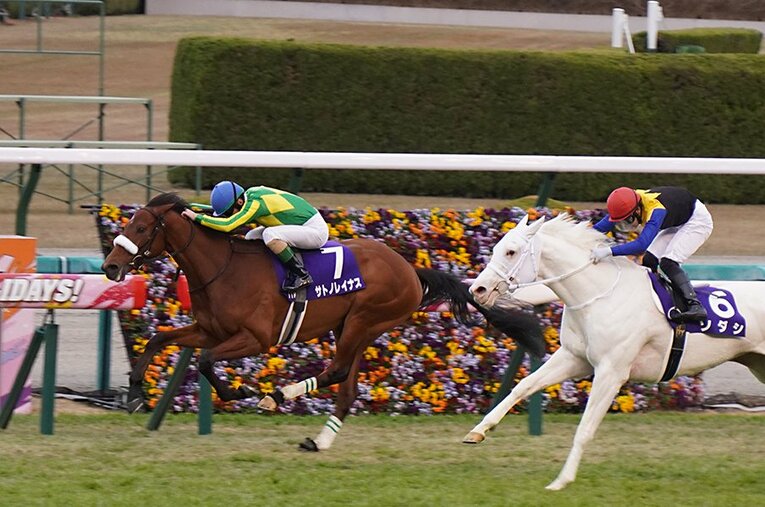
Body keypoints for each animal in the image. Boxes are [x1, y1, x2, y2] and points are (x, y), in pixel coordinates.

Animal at [101, 193, 544, 451]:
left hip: (365, 320)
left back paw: (277, 396)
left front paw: (239, 390)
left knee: (337, 370)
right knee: (347, 388)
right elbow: (159, 339)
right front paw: (136, 392)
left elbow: (207, 360)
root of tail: (409, 269)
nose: (110, 266)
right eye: (128, 224)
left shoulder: (255, 337)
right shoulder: (210, 329)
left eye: (142, 226)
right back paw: (318, 440)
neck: (223, 268)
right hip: (351, 327)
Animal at [462, 213, 765, 490]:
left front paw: (561, 480)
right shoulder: (574, 358)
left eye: (511, 251)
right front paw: (478, 431)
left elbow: (585, 428)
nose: (478, 289)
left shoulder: (611, 371)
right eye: (496, 248)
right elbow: (523, 386)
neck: (598, 295)